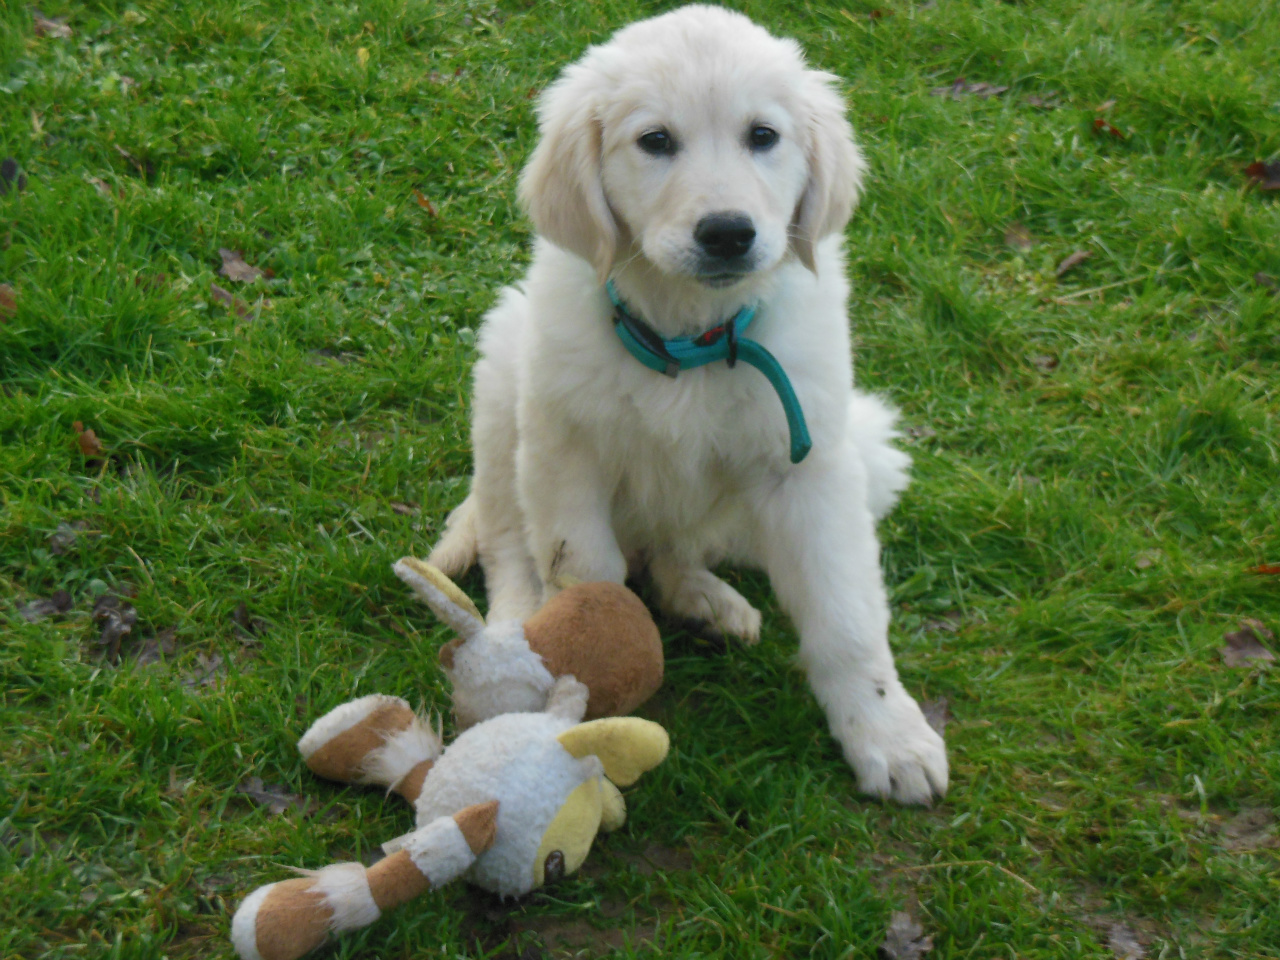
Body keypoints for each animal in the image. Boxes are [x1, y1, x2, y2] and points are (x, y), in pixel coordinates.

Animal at [428, 5, 948, 804]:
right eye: (656, 141)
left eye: (762, 136)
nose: (728, 232)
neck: (689, 338)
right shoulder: (564, 448)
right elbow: (583, 569)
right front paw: (575, 686)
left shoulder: (810, 467)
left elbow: (847, 617)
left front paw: (889, 736)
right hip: (503, 383)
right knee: (508, 543)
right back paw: (515, 628)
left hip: (866, 457)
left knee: (676, 551)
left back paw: (707, 600)